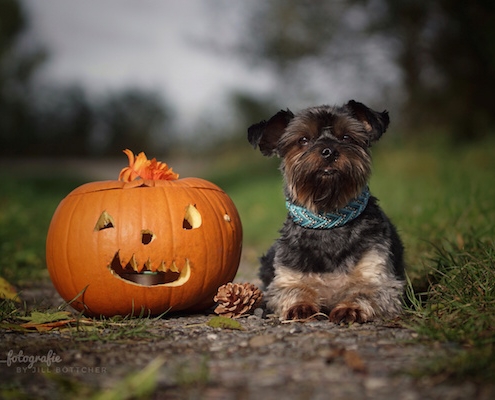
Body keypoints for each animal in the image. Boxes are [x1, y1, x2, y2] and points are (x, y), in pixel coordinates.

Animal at [248, 101, 406, 324]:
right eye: (303, 139)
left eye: (346, 137)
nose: (329, 151)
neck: (328, 220)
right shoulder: (285, 278)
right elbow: (293, 289)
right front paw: (301, 306)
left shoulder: (380, 277)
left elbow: (365, 290)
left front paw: (350, 308)